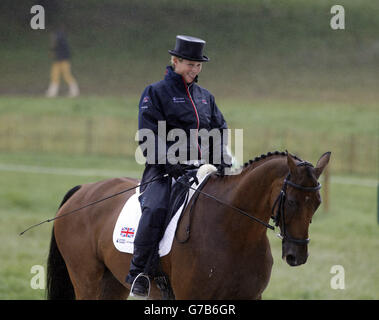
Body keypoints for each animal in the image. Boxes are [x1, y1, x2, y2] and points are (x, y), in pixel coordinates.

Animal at [47, 151, 332, 298]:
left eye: (317, 203)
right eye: (292, 201)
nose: (297, 255)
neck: (234, 233)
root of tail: (83, 190)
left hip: (111, 284)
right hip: (87, 281)